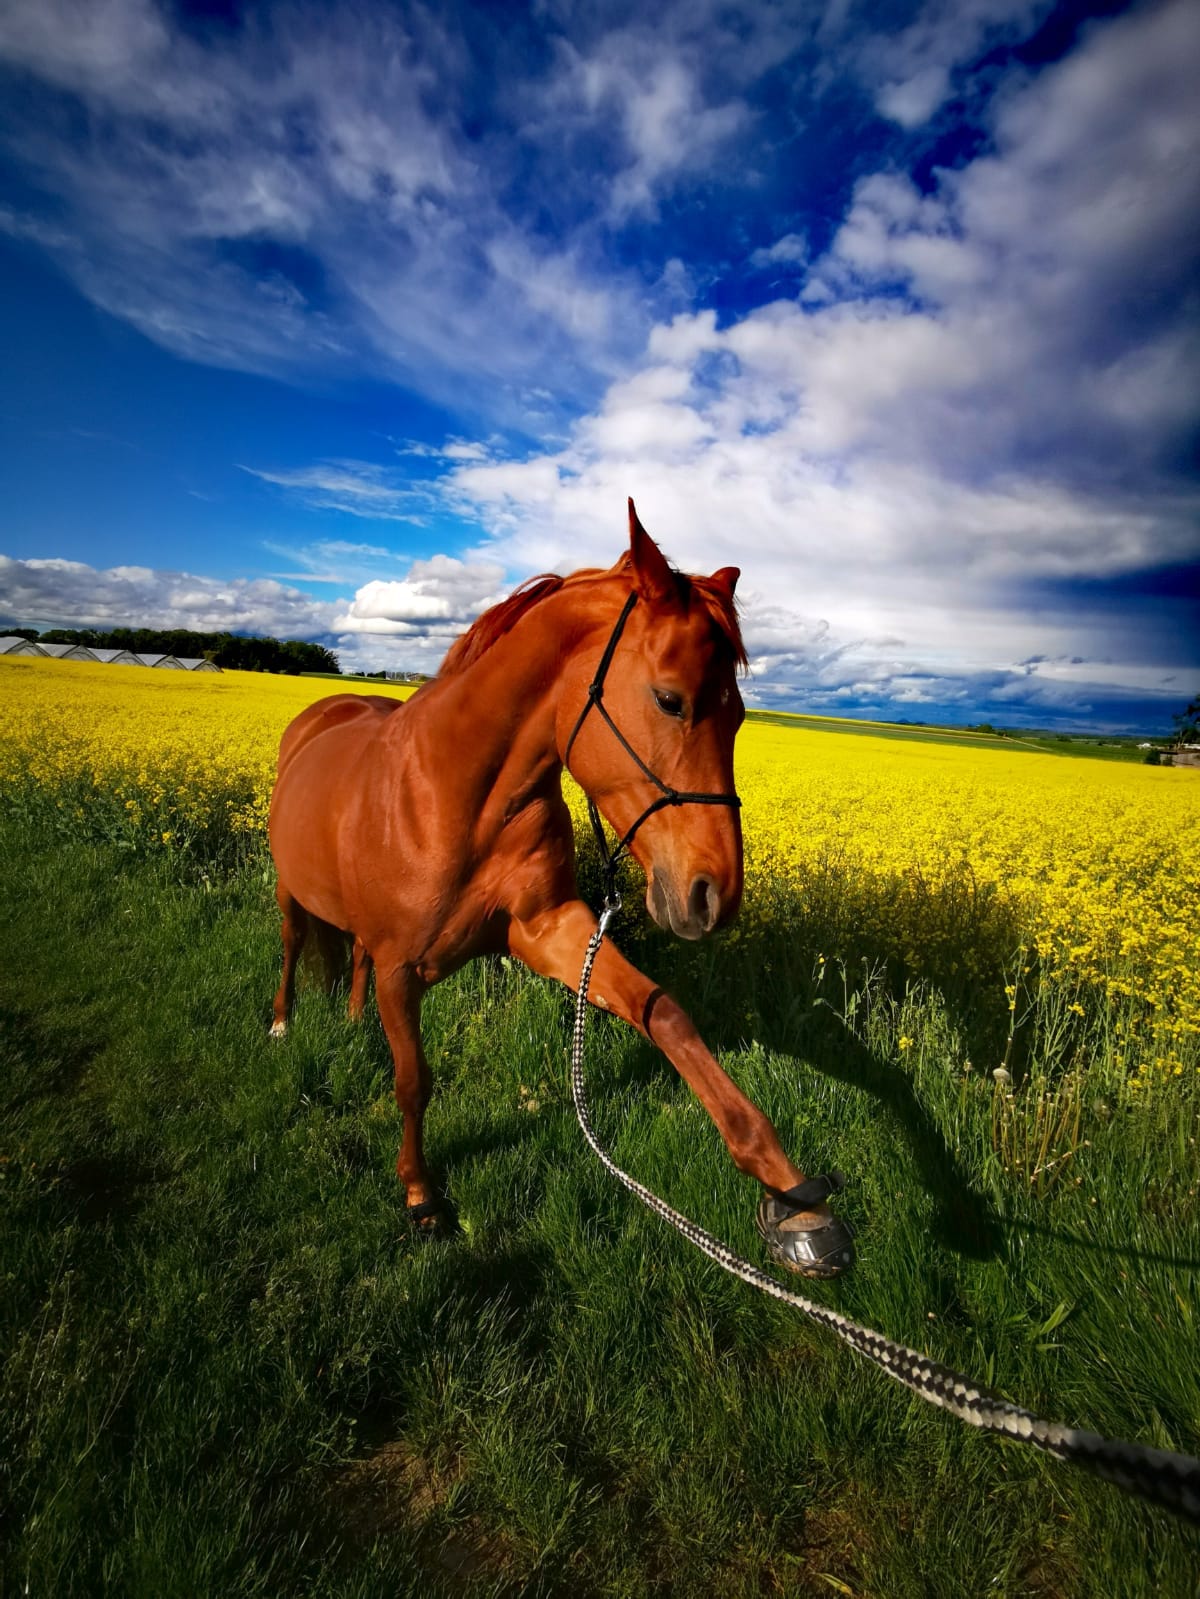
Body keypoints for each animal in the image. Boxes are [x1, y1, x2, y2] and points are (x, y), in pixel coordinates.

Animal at [268, 500, 854, 1278]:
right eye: (670, 700)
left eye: (737, 716)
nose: (713, 895)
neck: (456, 796)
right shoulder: (402, 968)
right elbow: (413, 1080)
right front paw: (422, 1194)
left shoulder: (552, 930)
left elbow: (667, 1016)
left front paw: (790, 1192)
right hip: (289, 894)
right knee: (293, 945)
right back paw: (280, 1022)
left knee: (352, 958)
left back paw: (357, 1017)